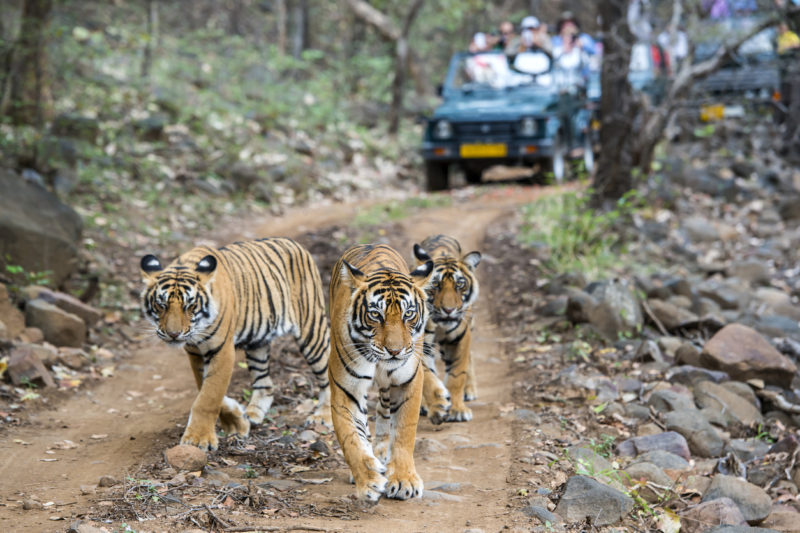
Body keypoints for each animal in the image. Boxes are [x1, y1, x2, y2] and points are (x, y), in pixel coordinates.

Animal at [141, 237, 332, 448]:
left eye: (190, 306)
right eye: (161, 305)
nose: (173, 334)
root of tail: (294, 243)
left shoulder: (221, 350)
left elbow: (209, 396)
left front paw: (198, 439)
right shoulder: (195, 353)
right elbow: (204, 388)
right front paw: (237, 422)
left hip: (312, 330)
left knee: (328, 374)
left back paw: (323, 416)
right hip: (257, 343)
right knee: (265, 384)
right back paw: (253, 414)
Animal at [328, 243, 434, 500]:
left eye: (409, 314)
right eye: (376, 314)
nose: (394, 351)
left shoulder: (408, 381)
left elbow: (404, 432)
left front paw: (404, 480)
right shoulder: (346, 389)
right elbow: (351, 438)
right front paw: (368, 481)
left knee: (385, 414)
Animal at [412, 233, 482, 424]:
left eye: (460, 284)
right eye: (436, 285)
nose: (449, 310)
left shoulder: (460, 338)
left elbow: (457, 375)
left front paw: (458, 410)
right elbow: (427, 376)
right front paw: (438, 406)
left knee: (470, 357)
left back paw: (469, 390)